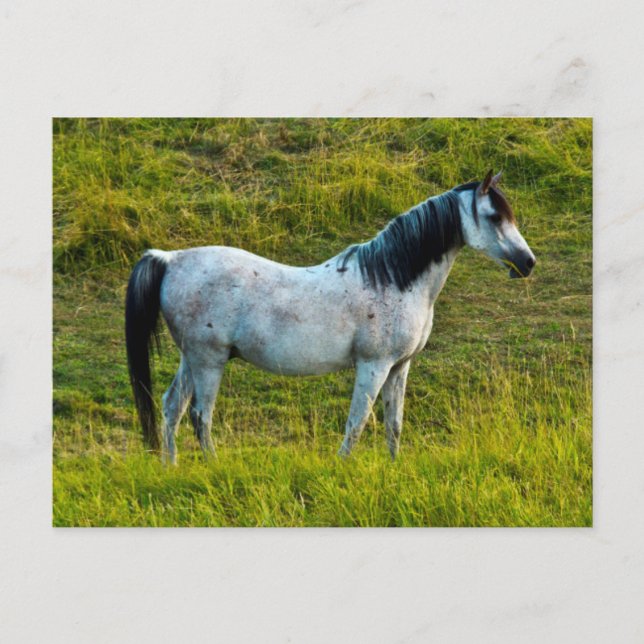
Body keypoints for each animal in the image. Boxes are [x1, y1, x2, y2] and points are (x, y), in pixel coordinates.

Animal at [125, 170, 536, 464]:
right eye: (494, 216)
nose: (528, 263)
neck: (393, 278)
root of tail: (170, 258)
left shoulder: (399, 367)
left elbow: (394, 424)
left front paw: (393, 468)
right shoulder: (373, 365)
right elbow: (358, 421)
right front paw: (343, 467)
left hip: (192, 358)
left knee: (172, 407)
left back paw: (171, 467)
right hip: (209, 361)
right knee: (200, 416)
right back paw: (213, 466)